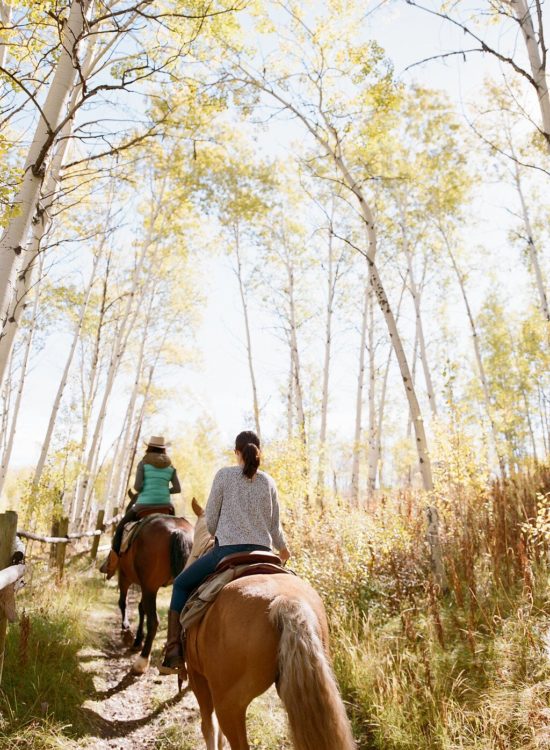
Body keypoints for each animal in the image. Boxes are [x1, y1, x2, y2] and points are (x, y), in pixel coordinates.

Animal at [117, 516, 194, 676]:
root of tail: (178, 531)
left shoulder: (125, 576)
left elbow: (124, 602)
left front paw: (127, 631)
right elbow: (141, 608)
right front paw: (137, 639)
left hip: (148, 587)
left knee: (153, 621)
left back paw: (141, 662)